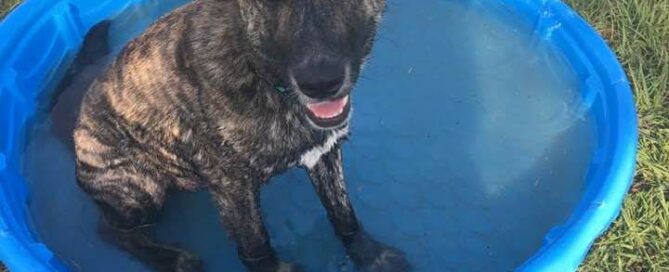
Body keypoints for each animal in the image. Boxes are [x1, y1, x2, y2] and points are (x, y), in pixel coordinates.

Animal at [73, 0, 408, 272]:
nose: (320, 83)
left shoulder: (324, 153)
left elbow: (344, 216)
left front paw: (371, 255)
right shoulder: (232, 189)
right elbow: (256, 248)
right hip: (140, 187)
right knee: (110, 230)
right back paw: (174, 259)